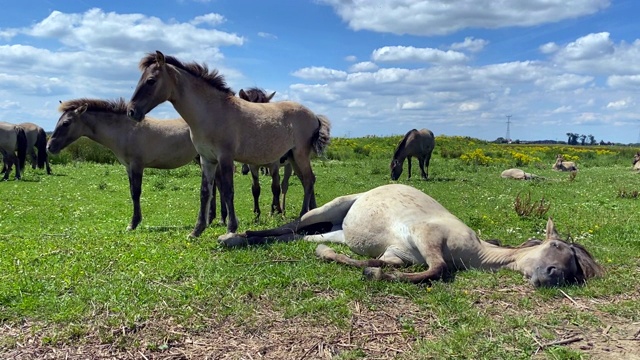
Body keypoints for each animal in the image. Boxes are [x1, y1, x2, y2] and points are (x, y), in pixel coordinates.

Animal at [46, 98, 219, 232]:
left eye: (66, 123)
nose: (49, 147)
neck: (125, 130)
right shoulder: (128, 167)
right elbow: (131, 192)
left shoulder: (137, 165)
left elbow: (136, 193)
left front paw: (133, 224)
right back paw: (212, 219)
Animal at [221, 184, 604, 288]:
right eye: (555, 245)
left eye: (574, 267)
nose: (553, 275)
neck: (473, 251)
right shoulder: (426, 236)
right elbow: (436, 270)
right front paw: (372, 274)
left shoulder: (399, 254)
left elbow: (381, 262)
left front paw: (339, 259)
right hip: (330, 208)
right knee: (292, 225)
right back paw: (233, 237)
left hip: (339, 230)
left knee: (300, 237)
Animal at [238, 87, 296, 217]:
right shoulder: (253, 166)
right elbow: (255, 189)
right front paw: (257, 214)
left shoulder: (274, 165)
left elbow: (275, 188)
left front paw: (278, 211)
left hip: (288, 164)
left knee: (283, 185)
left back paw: (281, 210)